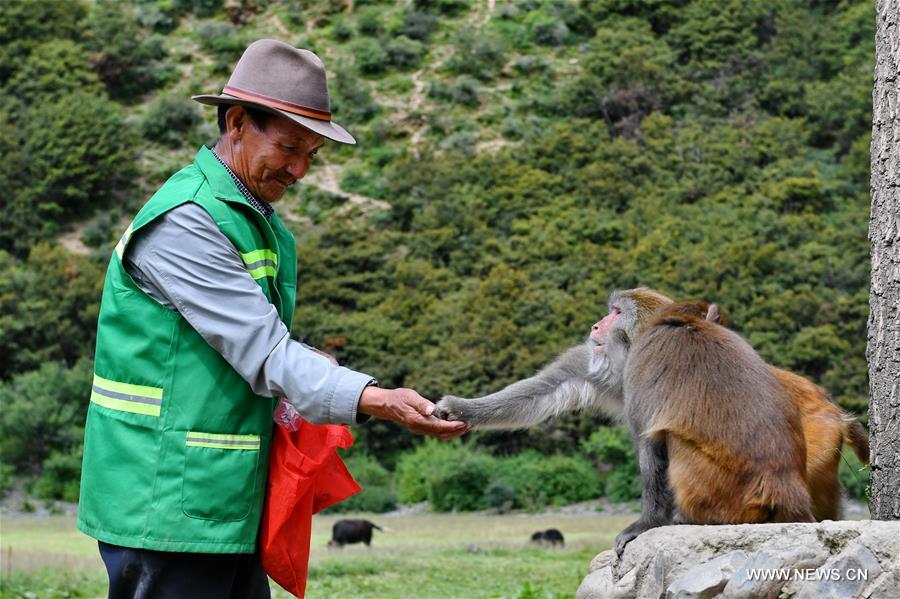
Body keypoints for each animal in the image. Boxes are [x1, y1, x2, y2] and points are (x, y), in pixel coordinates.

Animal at [620, 302, 816, 556]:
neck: (684, 321)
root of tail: (785, 487)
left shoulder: (640, 361)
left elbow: (650, 452)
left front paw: (646, 524)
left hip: (722, 495)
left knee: (675, 440)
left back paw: (690, 517)